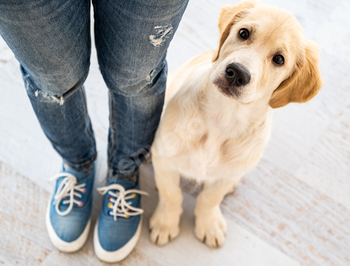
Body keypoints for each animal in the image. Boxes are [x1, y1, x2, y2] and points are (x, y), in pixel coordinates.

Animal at [149, 0, 322, 248]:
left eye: (279, 59)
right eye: (243, 33)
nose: (237, 73)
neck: (224, 117)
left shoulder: (224, 175)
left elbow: (209, 198)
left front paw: (208, 223)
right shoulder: (165, 160)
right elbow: (171, 193)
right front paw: (165, 222)